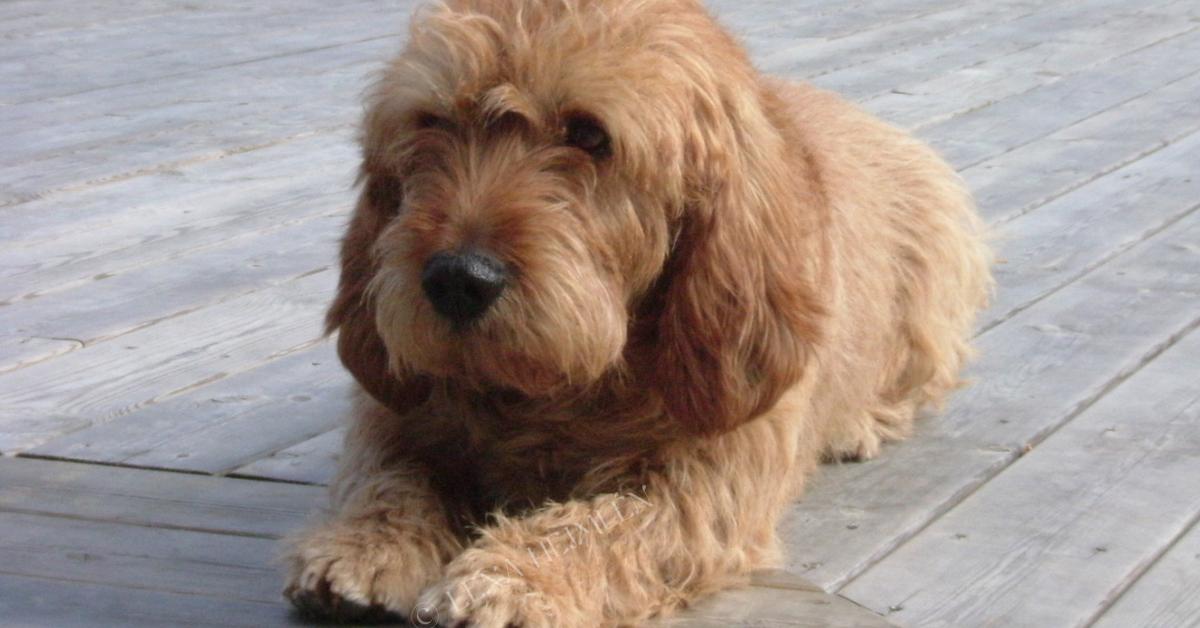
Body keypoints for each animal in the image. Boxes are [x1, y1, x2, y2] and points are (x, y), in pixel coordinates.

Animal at [283, 2, 993, 624]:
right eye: (431, 122)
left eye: (589, 135)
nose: (458, 279)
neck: (551, 391)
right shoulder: (396, 410)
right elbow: (388, 472)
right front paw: (365, 547)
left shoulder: (704, 480)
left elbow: (603, 524)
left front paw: (511, 581)